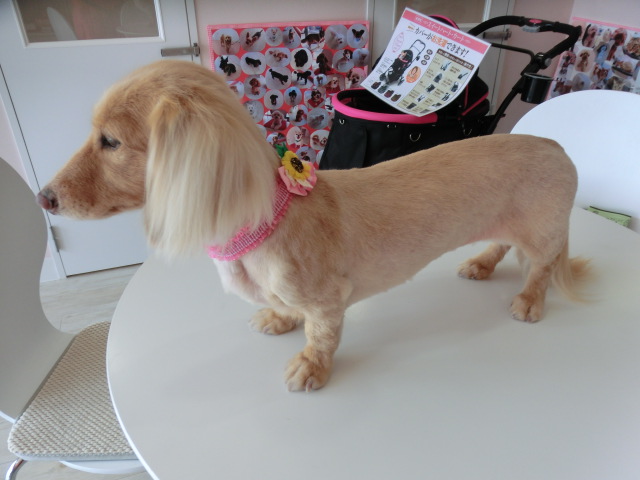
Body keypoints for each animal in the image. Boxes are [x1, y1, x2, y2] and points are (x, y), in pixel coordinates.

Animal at [37, 61, 590, 392]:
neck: (269, 222)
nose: (45, 198)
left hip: (543, 232)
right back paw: (479, 264)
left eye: (110, 141)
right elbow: (287, 310)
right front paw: (280, 318)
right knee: (501, 245)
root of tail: (558, 147)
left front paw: (310, 366)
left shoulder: (328, 300)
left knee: (540, 267)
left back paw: (528, 301)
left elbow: (321, 334)